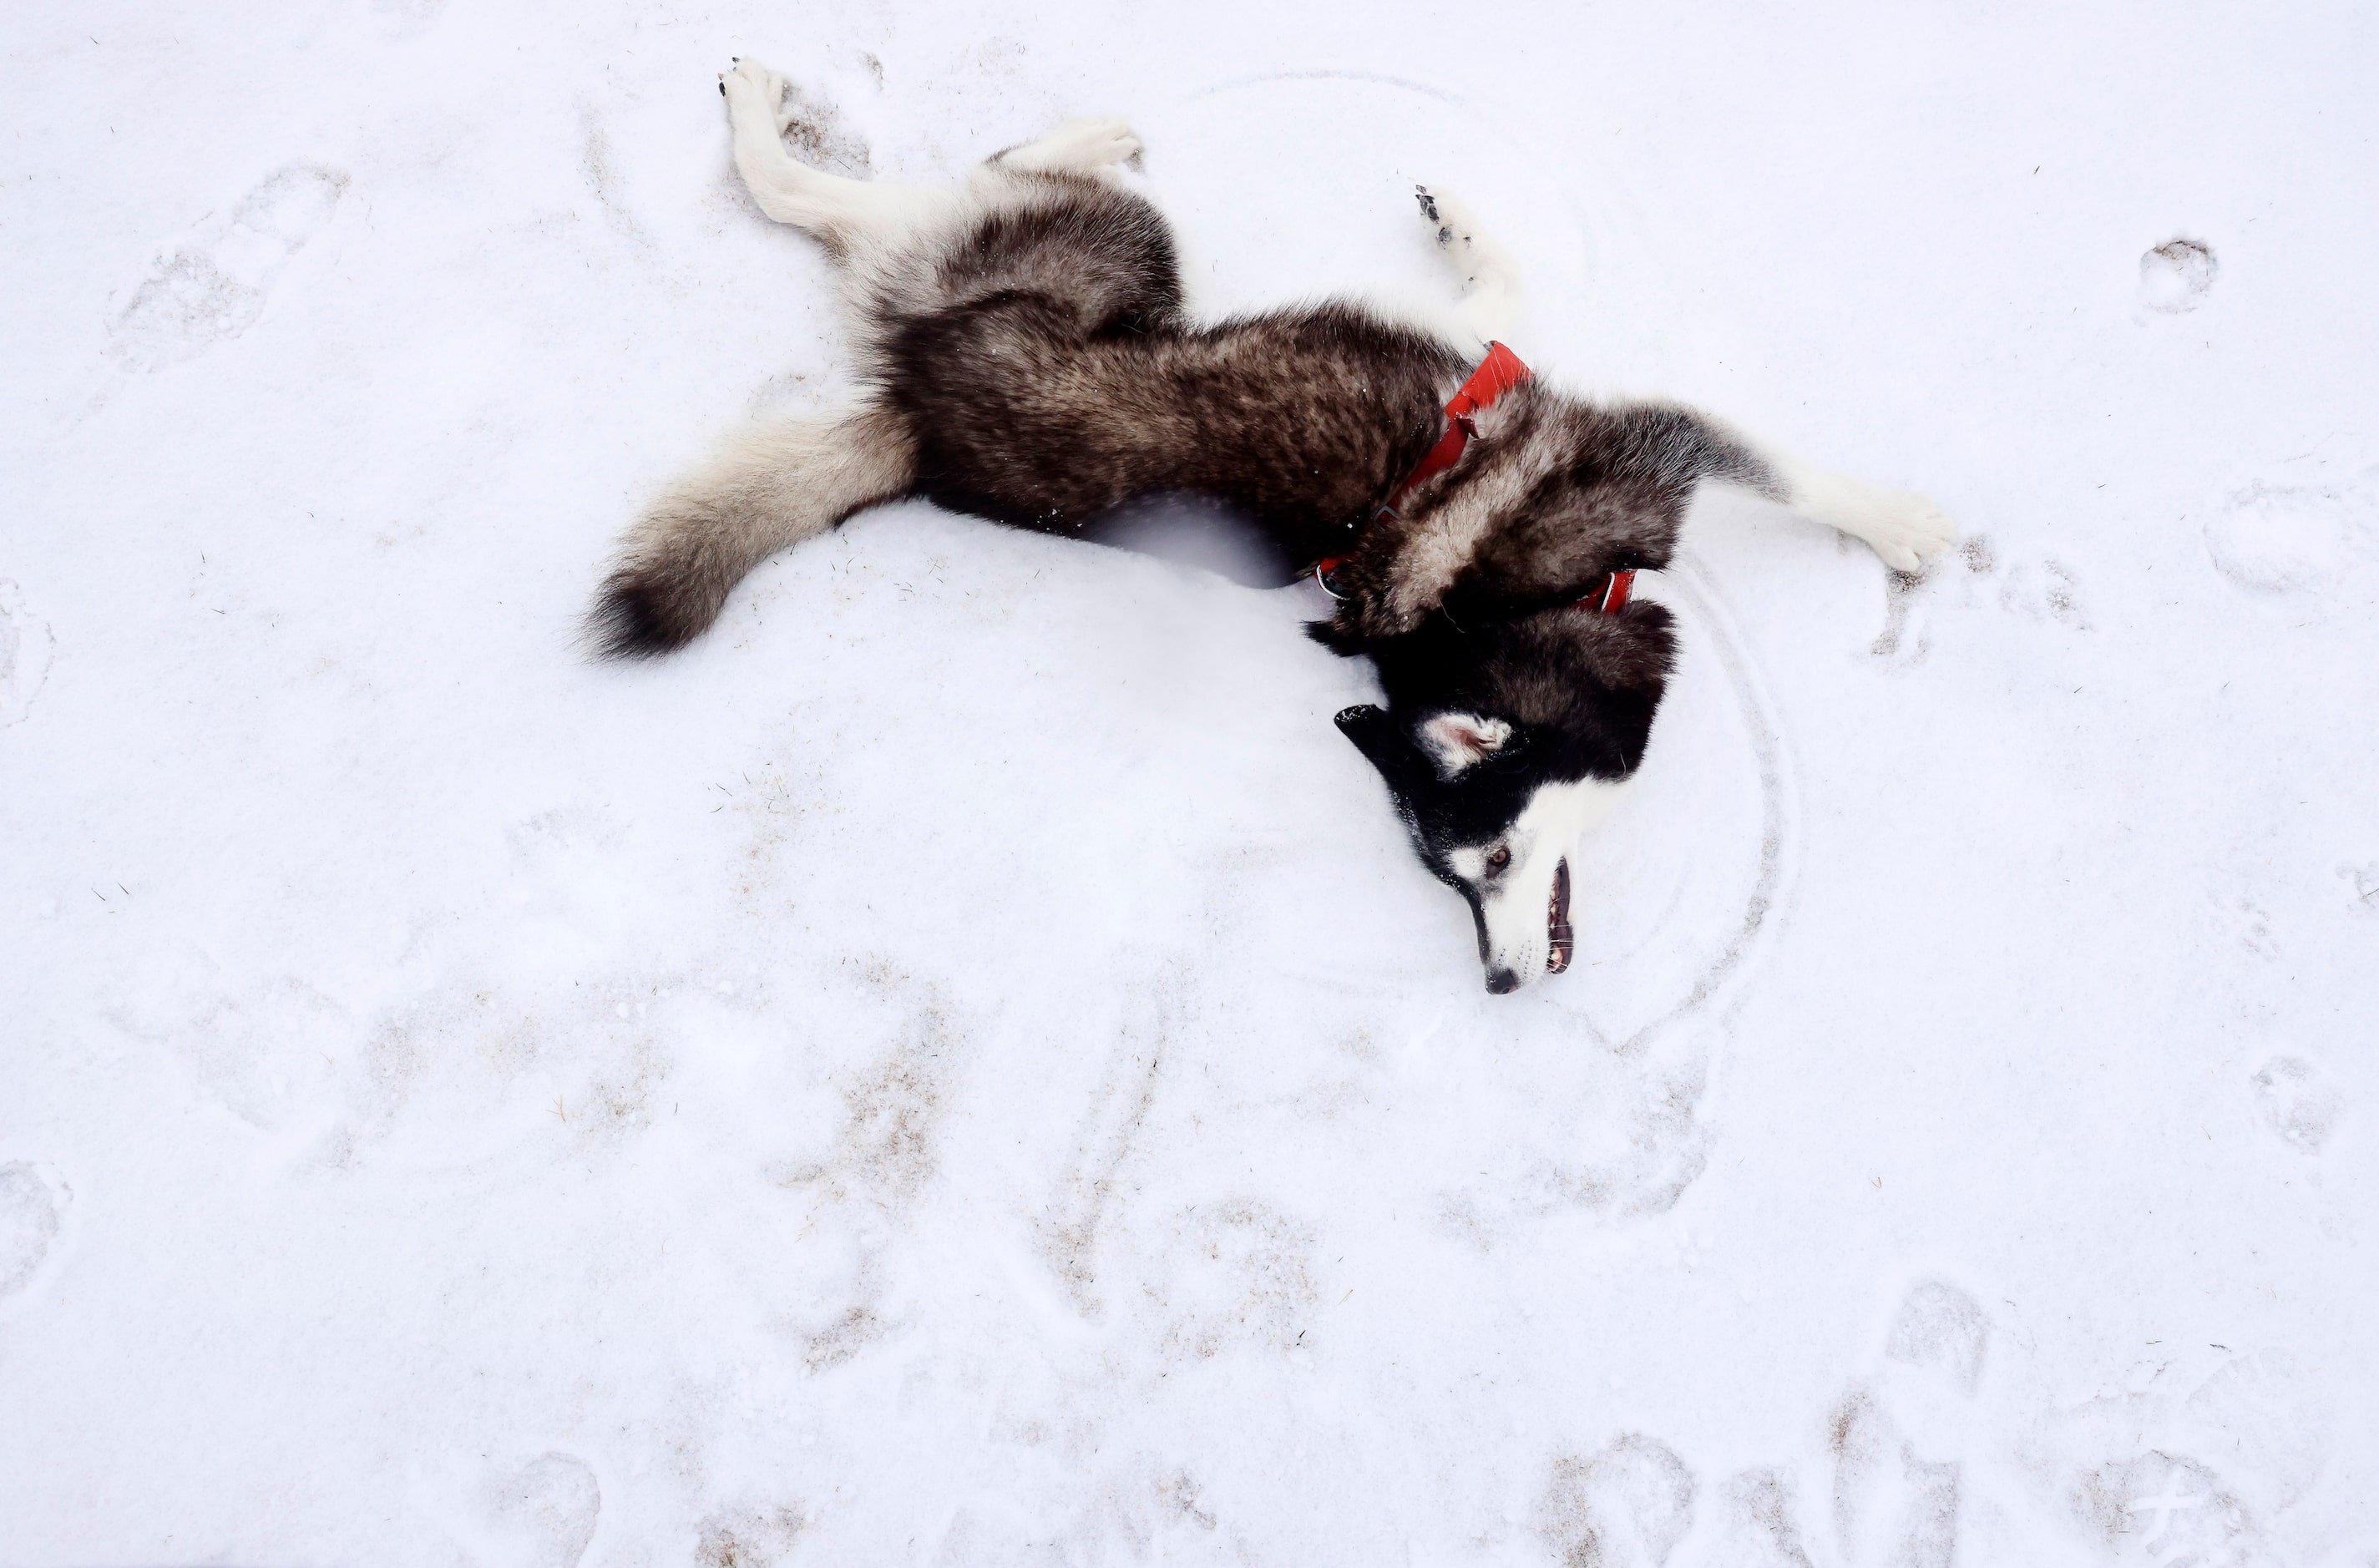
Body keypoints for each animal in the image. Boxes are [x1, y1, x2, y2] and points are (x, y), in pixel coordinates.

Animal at [590, 64, 1951, 994]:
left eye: (1494, 867)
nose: (1498, 984)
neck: (1512, 614)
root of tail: (918, 416)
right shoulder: (1617, 437)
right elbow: (1752, 450)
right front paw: (1903, 528)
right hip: (1107, 246)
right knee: (927, 177)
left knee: (858, 200)